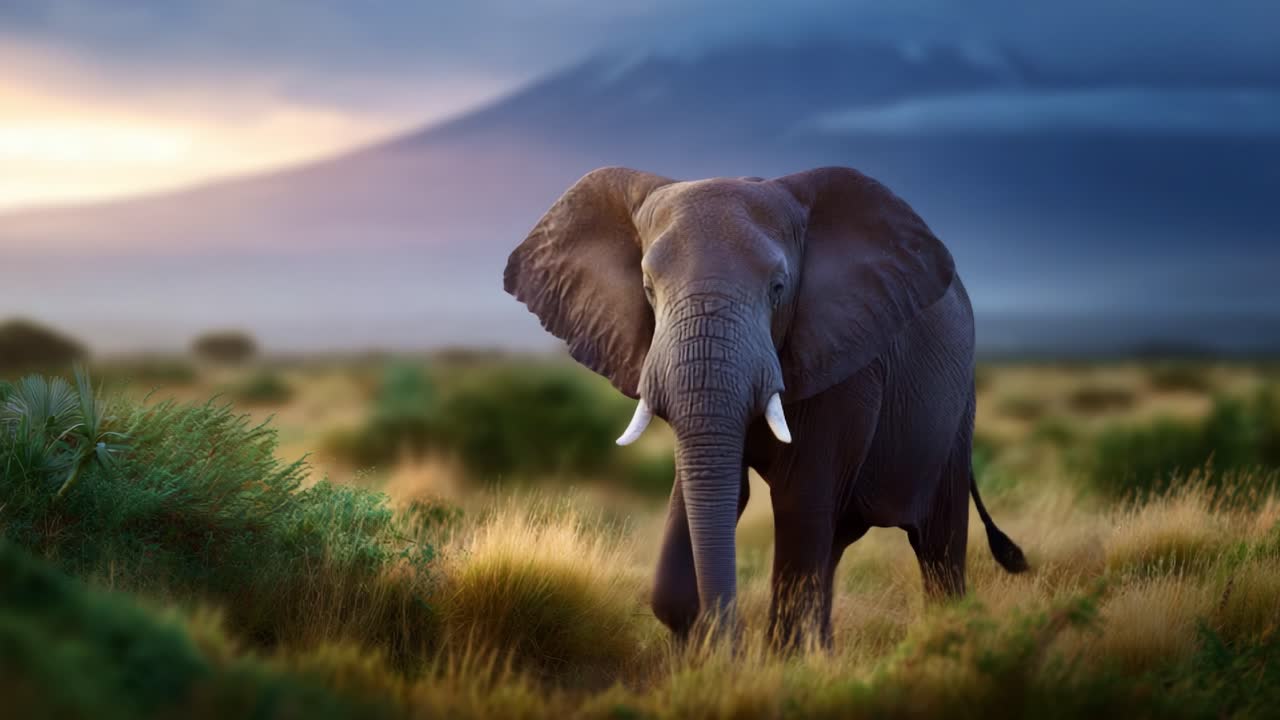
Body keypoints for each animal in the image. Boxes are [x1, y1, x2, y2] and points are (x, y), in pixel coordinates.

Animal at [503, 166, 1028, 648]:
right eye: (648, 288)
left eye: (778, 288)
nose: (731, 640)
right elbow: (716, 495)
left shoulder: (847, 365)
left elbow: (798, 499)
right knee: (835, 544)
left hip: (957, 418)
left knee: (936, 549)